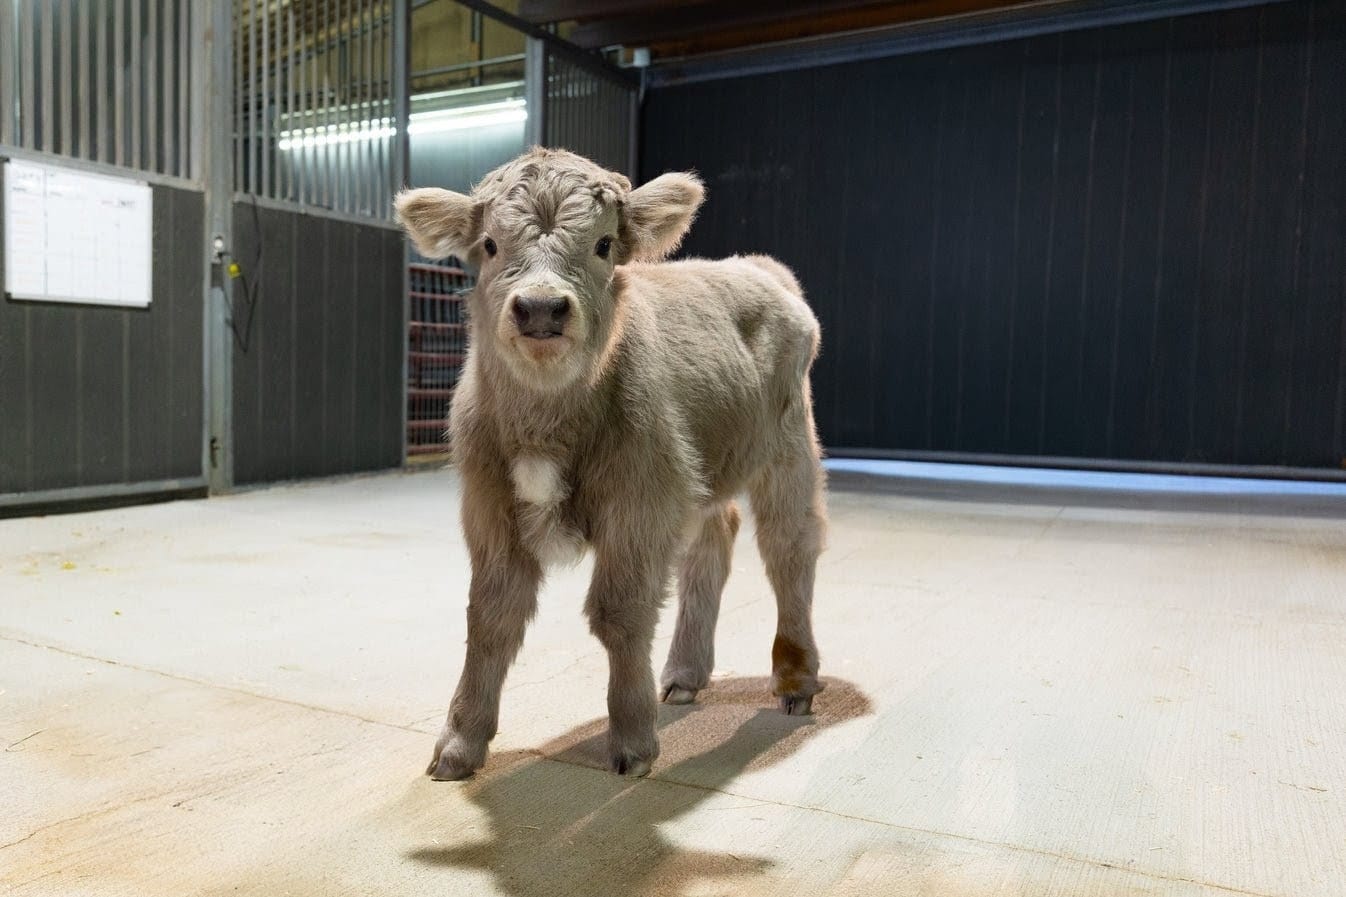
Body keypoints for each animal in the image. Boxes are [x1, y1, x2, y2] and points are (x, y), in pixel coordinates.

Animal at [395, 148, 826, 780]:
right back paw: (684, 674)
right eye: (490, 244)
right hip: (702, 467)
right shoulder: (488, 508)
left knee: (788, 548)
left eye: (603, 244)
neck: (547, 420)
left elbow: (619, 613)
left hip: (788, 448)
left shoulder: (639, 505)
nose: (541, 308)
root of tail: (758, 268)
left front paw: (633, 740)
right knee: (712, 543)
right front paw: (459, 743)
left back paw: (795, 678)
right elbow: (491, 616)